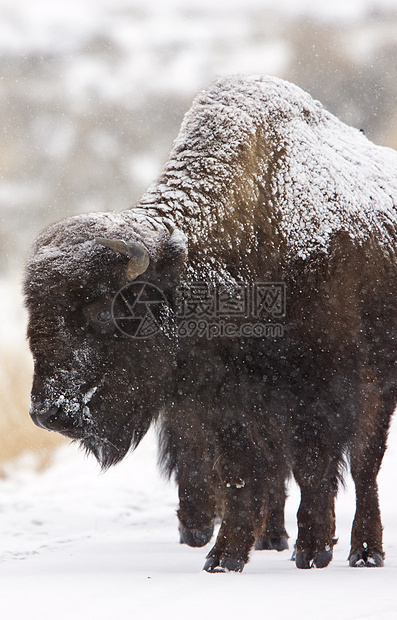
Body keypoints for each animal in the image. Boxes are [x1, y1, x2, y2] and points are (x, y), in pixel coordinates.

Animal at [24, 76, 396, 572]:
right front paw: (224, 559)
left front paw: (311, 549)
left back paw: (365, 552)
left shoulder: (319, 388)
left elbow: (314, 467)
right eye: (34, 316)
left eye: (104, 311)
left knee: (365, 466)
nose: (48, 413)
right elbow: (241, 475)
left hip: (379, 386)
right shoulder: (223, 404)